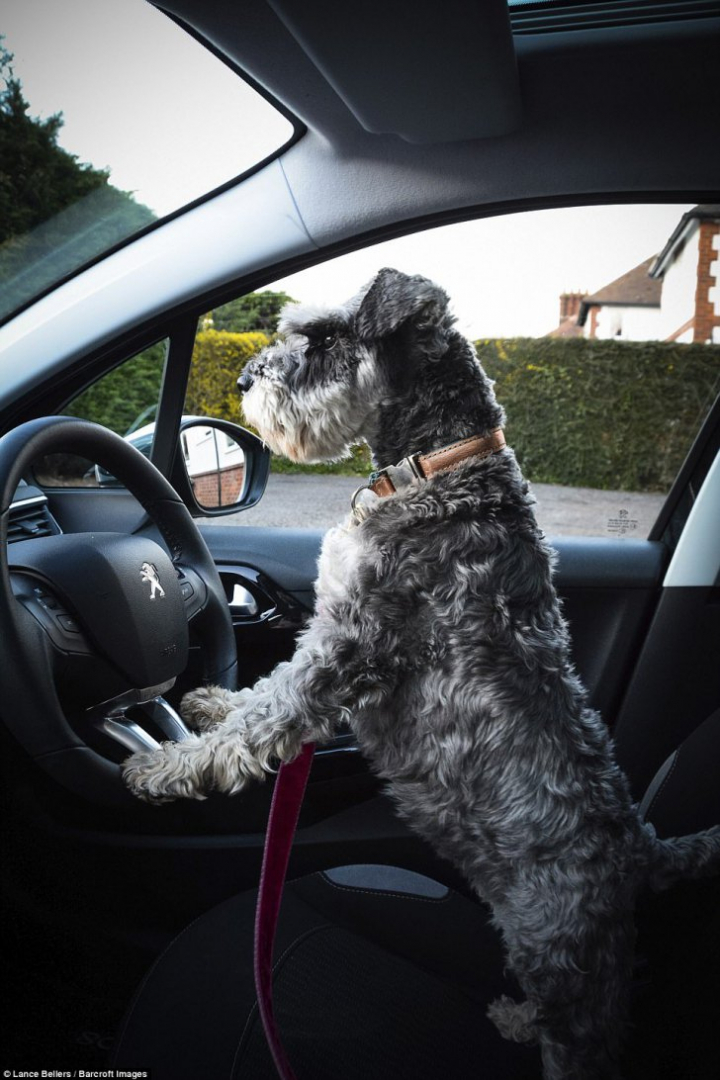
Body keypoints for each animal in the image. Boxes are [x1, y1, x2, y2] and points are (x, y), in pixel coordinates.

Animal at [125, 270, 720, 1080]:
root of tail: (640, 848)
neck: (440, 468)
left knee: (586, 1040)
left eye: (329, 337)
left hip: (566, 959)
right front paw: (214, 698)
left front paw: (162, 768)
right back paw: (513, 1017)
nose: (246, 380)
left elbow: (265, 719)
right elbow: (259, 697)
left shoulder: (347, 646)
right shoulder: (327, 631)